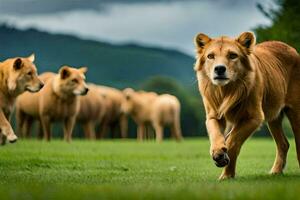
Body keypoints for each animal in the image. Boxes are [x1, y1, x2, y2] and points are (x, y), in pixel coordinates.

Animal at [193, 31, 300, 180]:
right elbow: (216, 134)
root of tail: (291, 48)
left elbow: (233, 141)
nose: (219, 69)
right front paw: (218, 153)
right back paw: (275, 171)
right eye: (210, 56)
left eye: (232, 55)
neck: (227, 90)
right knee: (283, 144)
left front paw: (227, 174)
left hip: (295, 112)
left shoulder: (254, 117)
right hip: (274, 116)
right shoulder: (213, 116)